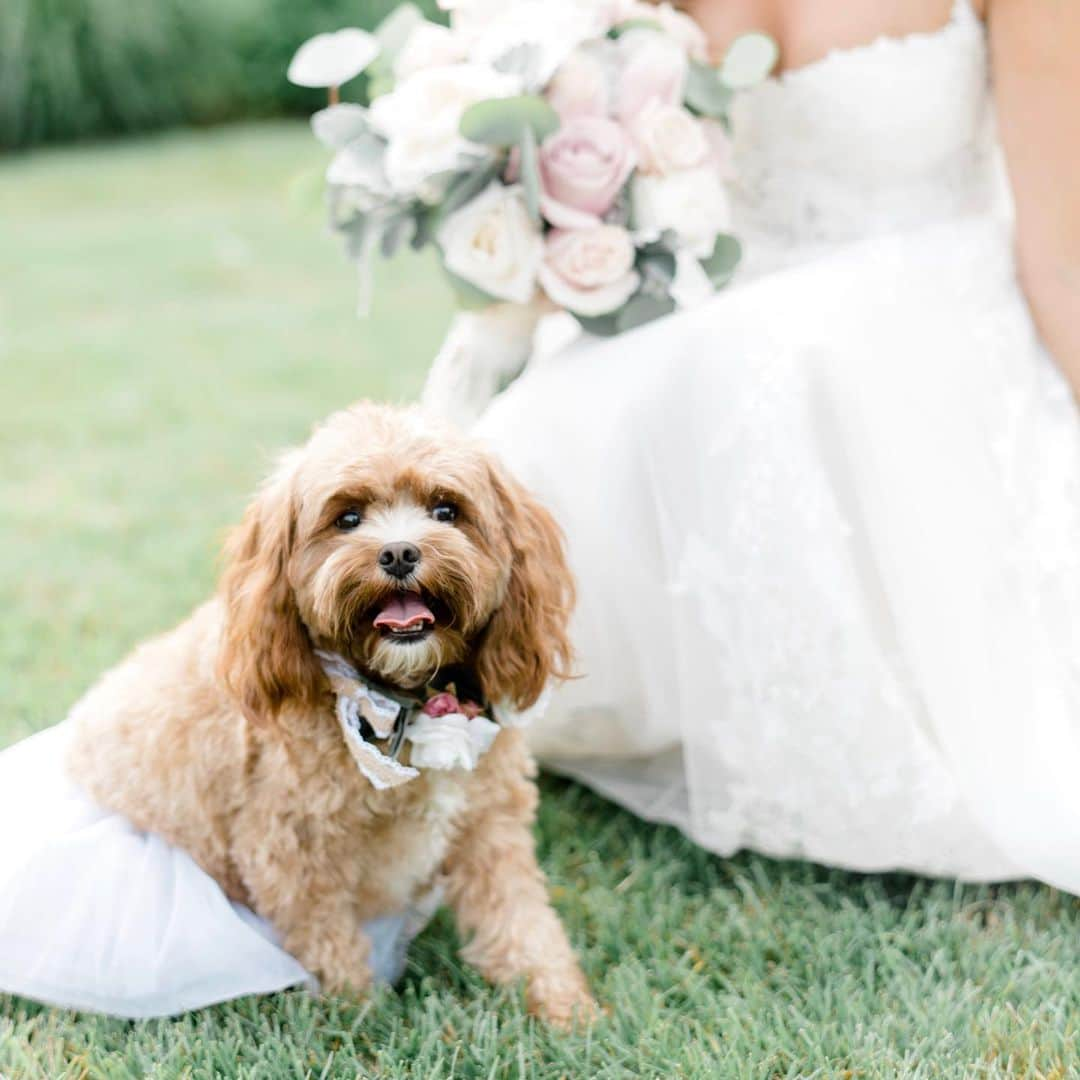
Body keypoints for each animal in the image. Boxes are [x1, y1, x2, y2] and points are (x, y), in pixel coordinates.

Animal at [66, 401, 596, 1023]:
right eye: (347, 518)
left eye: (446, 509)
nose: (399, 552)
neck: (403, 699)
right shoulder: (291, 853)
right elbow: (331, 944)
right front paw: (360, 1019)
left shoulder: (489, 824)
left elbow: (521, 919)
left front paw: (567, 1009)